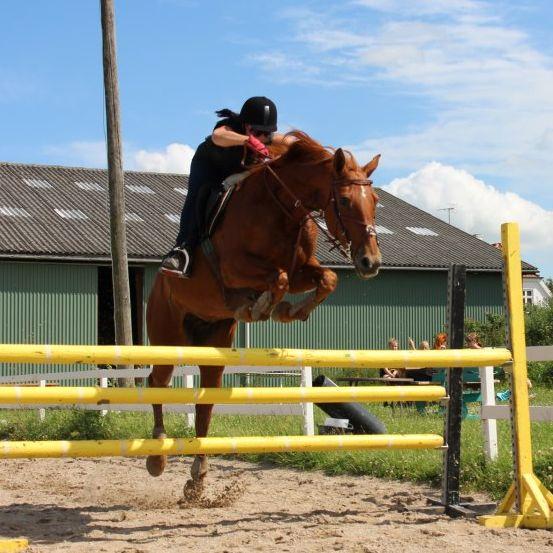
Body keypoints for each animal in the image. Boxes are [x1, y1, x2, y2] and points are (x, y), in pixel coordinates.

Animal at [144, 132, 382, 490]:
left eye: (375, 201)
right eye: (343, 200)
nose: (371, 262)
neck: (282, 208)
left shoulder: (301, 270)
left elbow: (326, 278)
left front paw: (287, 311)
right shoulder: (234, 268)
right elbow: (277, 277)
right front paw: (263, 306)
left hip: (214, 341)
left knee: (205, 399)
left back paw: (198, 474)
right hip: (167, 336)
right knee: (156, 382)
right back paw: (157, 456)